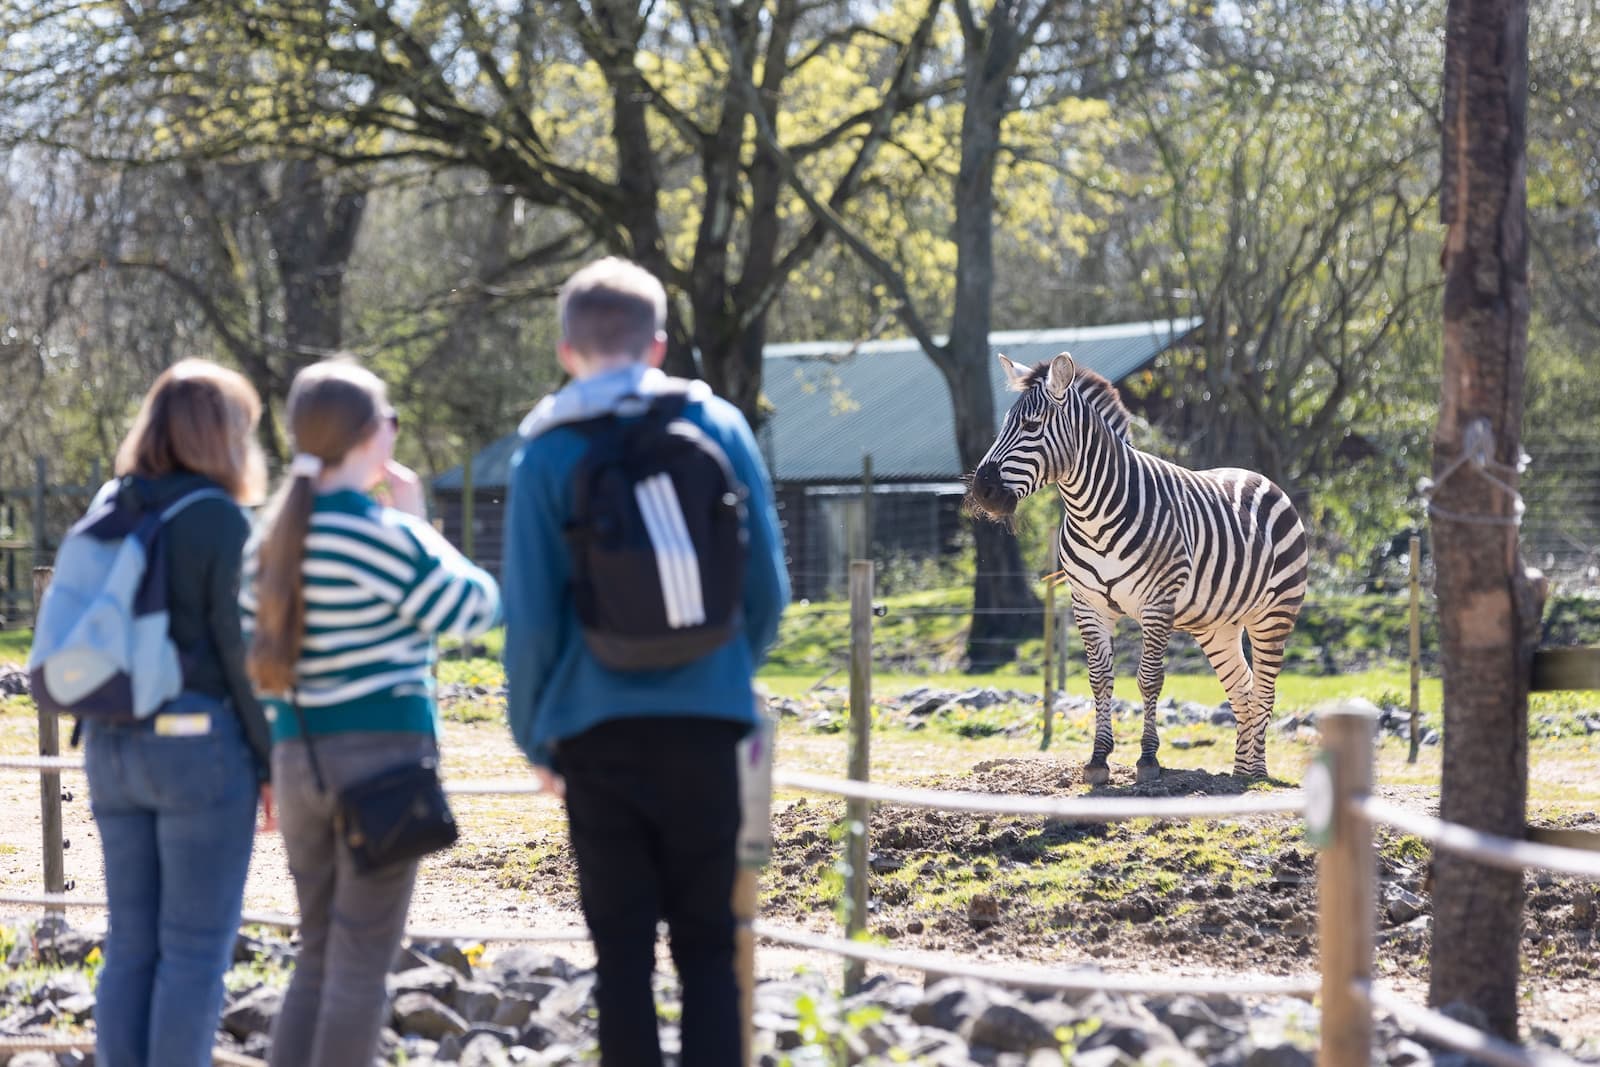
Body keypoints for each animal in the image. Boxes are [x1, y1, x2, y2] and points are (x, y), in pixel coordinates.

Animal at [966, 352, 1308, 784]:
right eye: (1004, 425)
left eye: (1030, 426)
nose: (982, 491)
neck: (1092, 514)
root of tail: (1257, 476)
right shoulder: (1088, 604)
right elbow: (1100, 680)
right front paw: (1098, 760)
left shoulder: (1157, 604)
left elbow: (1148, 679)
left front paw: (1147, 759)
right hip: (1218, 625)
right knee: (1242, 690)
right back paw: (1239, 771)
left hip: (1274, 614)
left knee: (1263, 689)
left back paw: (1257, 773)